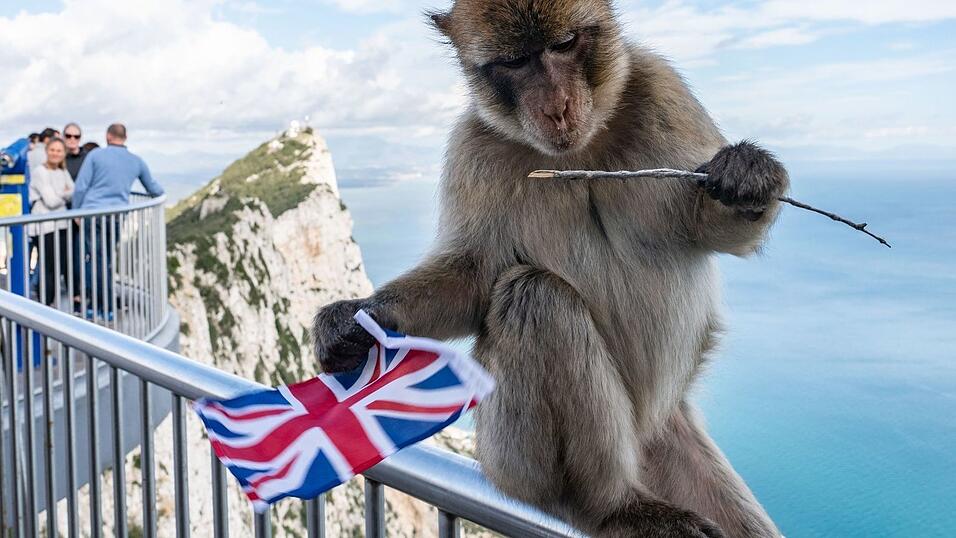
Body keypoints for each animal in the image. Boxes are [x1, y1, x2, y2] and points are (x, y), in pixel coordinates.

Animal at [312, 1, 788, 536]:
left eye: (563, 45)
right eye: (516, 62)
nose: (556, 106)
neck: (579, 150)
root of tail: (645, 435)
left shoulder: (662, 89)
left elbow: (712, 230)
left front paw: (748, 177)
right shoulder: (474, 147)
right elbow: (474, 276)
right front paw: (352, 319)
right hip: (508, 457)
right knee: (534, 297)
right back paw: (610, 505)